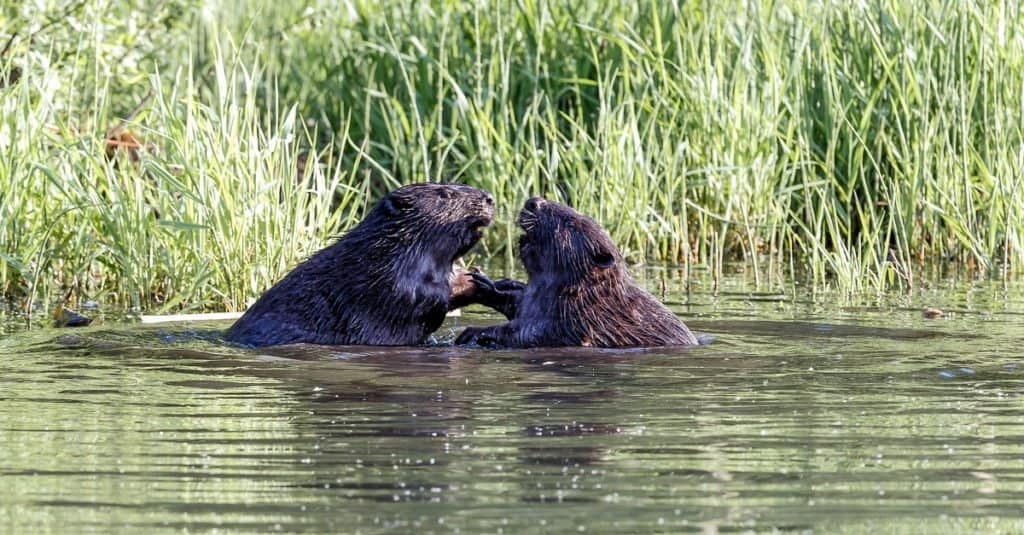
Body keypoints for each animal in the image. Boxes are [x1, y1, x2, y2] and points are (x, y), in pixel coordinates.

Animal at [460, 195, 700, 346]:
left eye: (569, 222)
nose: (533, 202)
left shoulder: (579, 319)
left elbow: (531, 333)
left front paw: (471, 332)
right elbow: (517, 303)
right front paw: (484, 282)